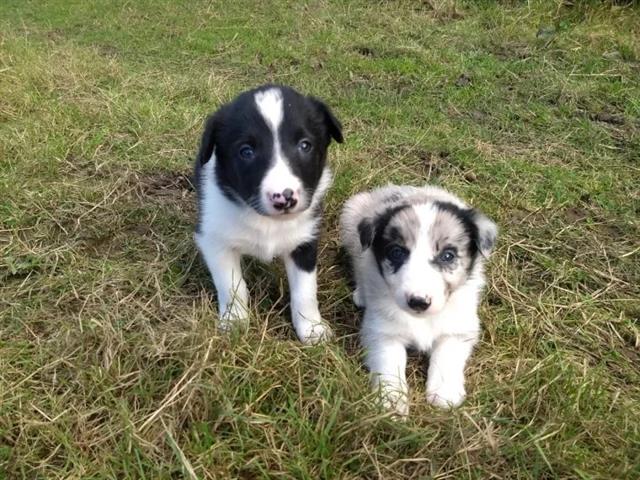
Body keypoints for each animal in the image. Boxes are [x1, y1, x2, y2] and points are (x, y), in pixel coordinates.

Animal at [194, 84, 342, 344]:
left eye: (305, 145)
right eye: (246, 151)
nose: (284, 197)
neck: (267, 222)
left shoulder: (305, 240)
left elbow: (305, 291)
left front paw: (311, 328)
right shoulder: (214, 241)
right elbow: (232, 285)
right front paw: (234, 322)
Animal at [338, 186, 498, 414]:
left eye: (448, 256)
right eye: (396, 252)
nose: (418, 302)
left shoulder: (459, 329)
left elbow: (447, 355)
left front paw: (444, 393)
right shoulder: (382, 332)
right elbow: (389, 364)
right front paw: (392, 401)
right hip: (351, 221)